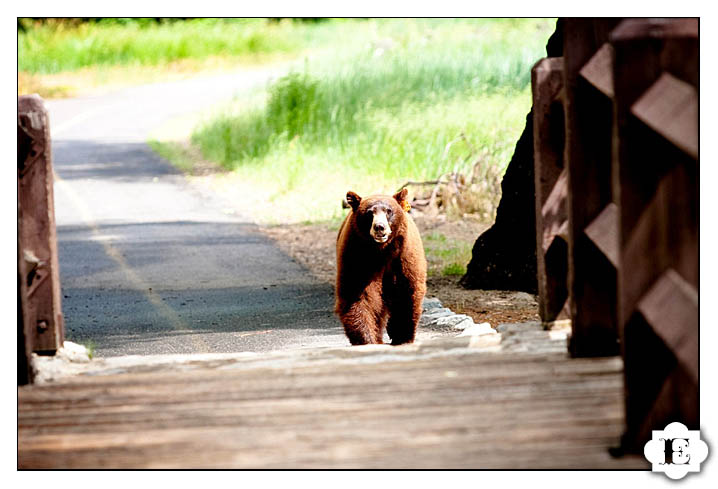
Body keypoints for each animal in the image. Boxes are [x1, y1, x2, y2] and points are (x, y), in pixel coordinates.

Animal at [336, 186, 430, 344]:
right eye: (369, 213)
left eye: (388, 211)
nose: (379, 227)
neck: (382, 250)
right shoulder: (355, 253)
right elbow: (357, 292)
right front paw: (367, 338)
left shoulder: (405, 255)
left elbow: (408, 290)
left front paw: (402, 336)